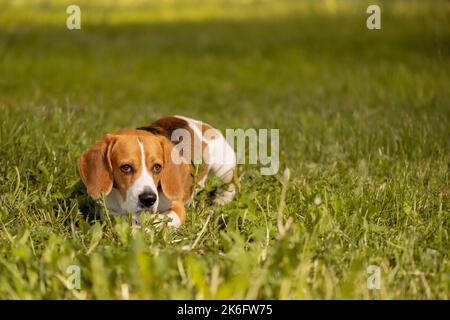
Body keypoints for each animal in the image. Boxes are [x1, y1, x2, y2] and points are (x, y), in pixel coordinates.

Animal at [78, 115, 237, 228]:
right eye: (126, 167)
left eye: (157, 167)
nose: (148, 199)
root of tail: (201, 124)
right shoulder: (107, 211)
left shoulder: (177, 210)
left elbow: (158, 219)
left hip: (223, 166)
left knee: (232, 183)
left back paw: (222, 199)